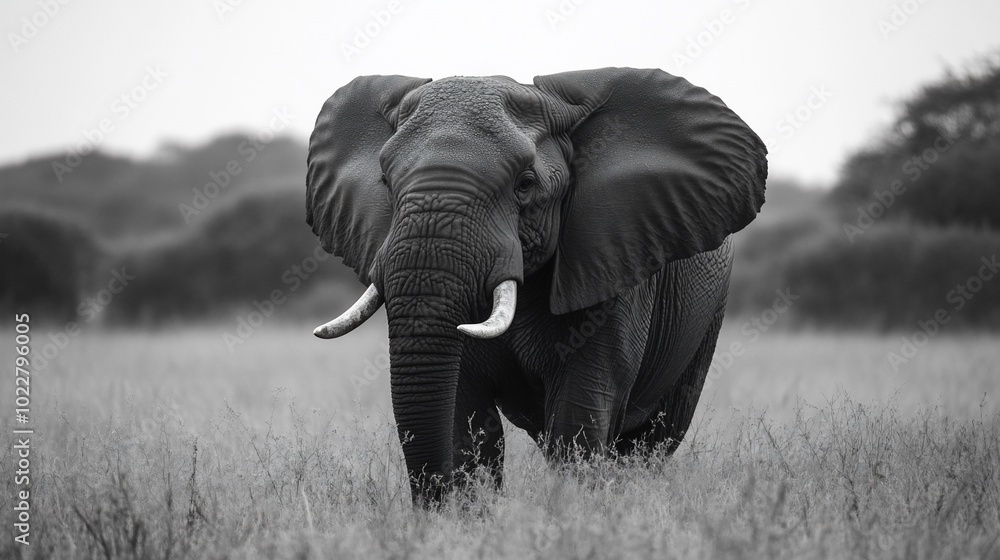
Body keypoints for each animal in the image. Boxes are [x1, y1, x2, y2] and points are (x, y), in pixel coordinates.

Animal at [305, 67, 767, 505]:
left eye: (525, 185)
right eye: (385, 182)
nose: (427, 512)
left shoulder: (613, 266)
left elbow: (578, 420)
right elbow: (466, 424)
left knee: (650, 443)